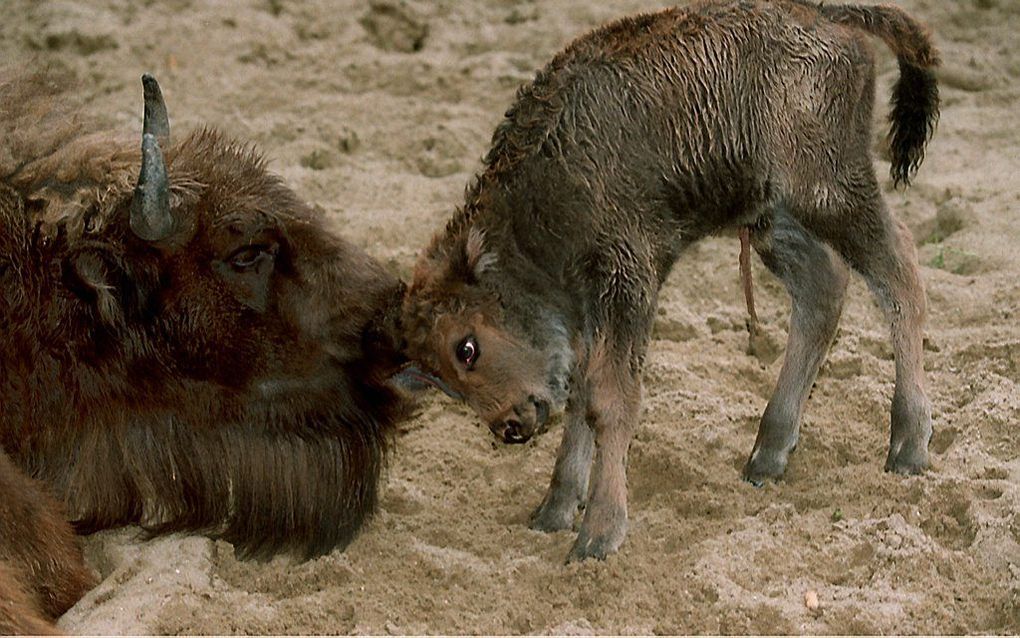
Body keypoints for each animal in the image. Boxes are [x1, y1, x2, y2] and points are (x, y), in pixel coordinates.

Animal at [399, 0, 938, 555]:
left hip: (829, 192)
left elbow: (608, 401)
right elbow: (580, 401)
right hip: (771, 215)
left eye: (467, 348)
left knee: (900, 277)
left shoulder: (627, 283)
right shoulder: (589, 313)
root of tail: (827, 15)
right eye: (438, 381)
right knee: (823, 291)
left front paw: (598, 536)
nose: (511, 426)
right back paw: (767, 456)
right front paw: (553, 511)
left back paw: (908, 446)